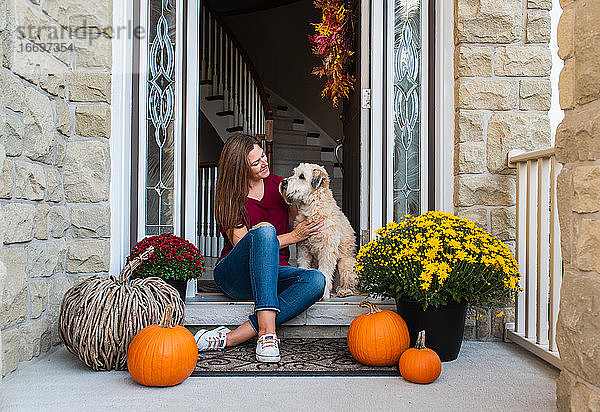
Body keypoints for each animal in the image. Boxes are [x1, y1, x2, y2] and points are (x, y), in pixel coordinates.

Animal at [280, 163, 358, 300]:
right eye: (294, 173)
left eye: (301, 176)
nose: (284, 182)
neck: (312, 209)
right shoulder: (303, 249)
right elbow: (303, 266)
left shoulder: (327, 251)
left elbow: (325, 272)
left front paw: (323, 294)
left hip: (345, 263)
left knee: (349, 285)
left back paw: (343, 291)